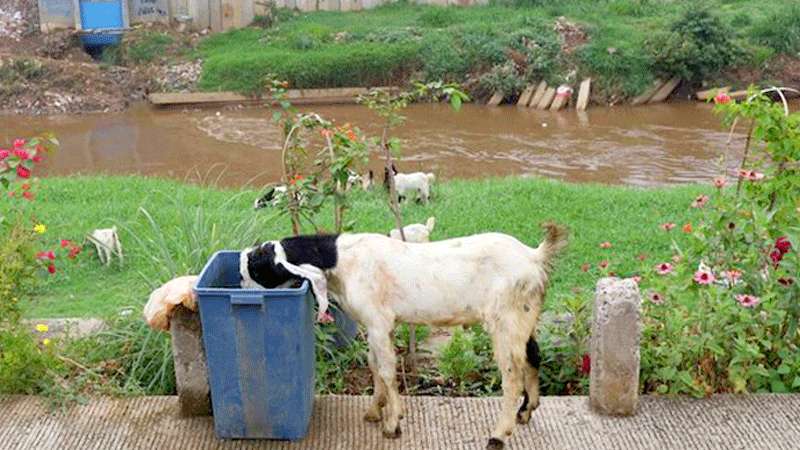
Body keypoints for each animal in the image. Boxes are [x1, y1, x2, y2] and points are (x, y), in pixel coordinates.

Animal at [239, 223, 568, 448]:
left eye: (254, 269)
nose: (241, 288)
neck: (341, 260)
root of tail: (535, 256)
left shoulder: (378, 322)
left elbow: (386, 370)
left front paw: (392, 424)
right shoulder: (374, 326)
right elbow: (374, 367)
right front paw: (375, 411)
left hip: (505, 321)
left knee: (511, 375)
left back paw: (499, 434)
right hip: (524, 317)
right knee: (533, 356)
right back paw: (526, 412)